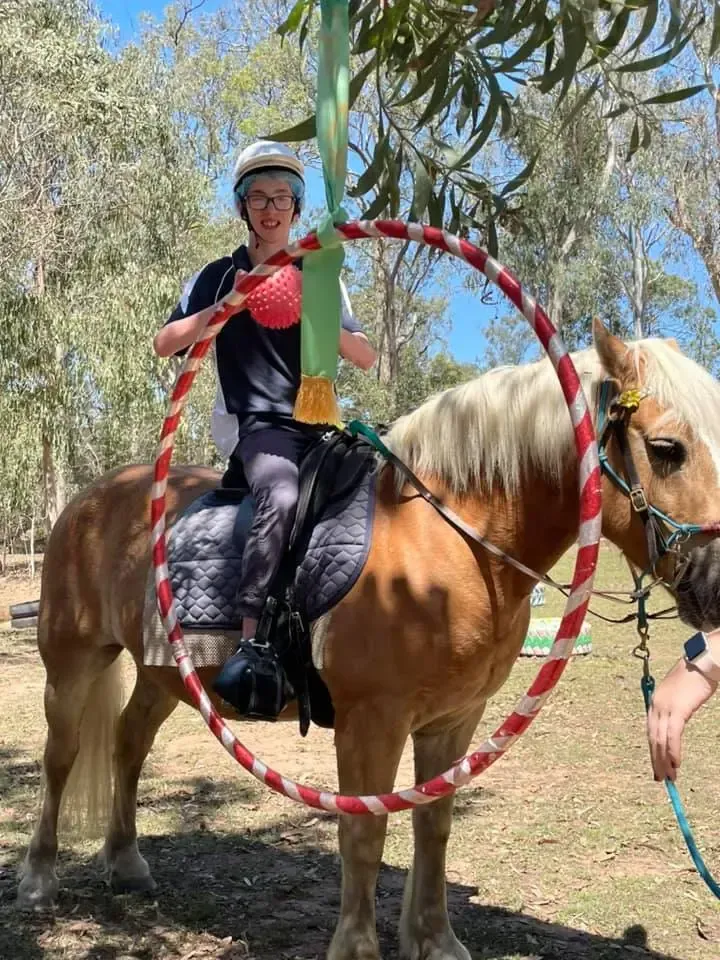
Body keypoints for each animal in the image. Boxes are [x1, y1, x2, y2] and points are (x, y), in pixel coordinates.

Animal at [16, 320, 720, 960]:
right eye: (667, 448)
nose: (717, 582)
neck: (448, 541)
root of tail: (92, 496)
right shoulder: (371, 721)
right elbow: (365, 830)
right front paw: (357, 947)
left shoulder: (455, 719)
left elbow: (434, 823)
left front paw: (435, 940)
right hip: (71, 661)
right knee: (62, 755)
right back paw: (39, 879)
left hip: (160, 672)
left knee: (129, 743)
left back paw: (125, 860)